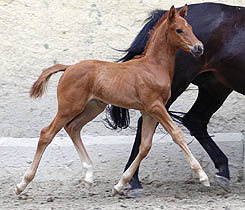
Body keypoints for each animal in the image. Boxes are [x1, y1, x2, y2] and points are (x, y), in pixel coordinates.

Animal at [16, 4, 210, 195]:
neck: (153, 66)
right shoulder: (155, 106)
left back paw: (88, 176)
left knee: (73, 127)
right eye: (179, 30)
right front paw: (203, 176)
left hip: (93, 107)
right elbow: (177, 134)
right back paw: (22, 184)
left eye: (190, 28)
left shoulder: (149, 111)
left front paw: (120, 185)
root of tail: (69, 67)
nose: (199, 48)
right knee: (46, 133)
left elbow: (145, 146)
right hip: (69, 107)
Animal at [107, 2, 245, 192]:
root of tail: (166, 13)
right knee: (148, 123)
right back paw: (133, 181)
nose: (199, 48)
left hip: (215, 87)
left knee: (195, 120)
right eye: (179, 30)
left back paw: (222, 170)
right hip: (179, 84)